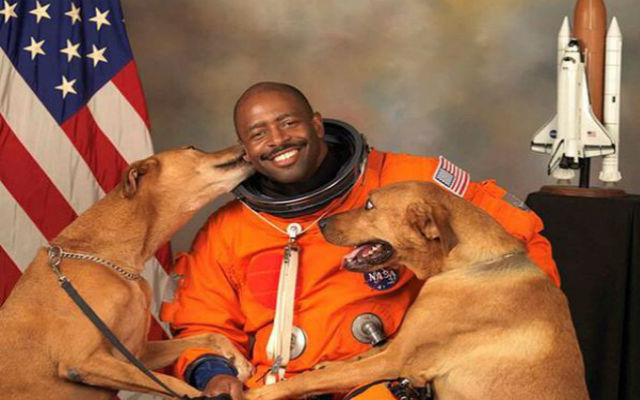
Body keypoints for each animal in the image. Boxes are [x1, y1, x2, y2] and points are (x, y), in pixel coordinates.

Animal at [0, 145, 255, 400]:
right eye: (192, 148)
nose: (242, 146)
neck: (112, 260)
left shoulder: (138, 355)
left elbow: (211, 335)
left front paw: (238, 360)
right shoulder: (82, 360)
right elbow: (174, 383)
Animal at [246, 182, 592, 400]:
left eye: (369, 204)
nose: (320, 223)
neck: (468, 263)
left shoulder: (397, 360)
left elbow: (314, 378)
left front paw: (264, 393)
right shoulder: (398, 344)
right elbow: (362, 354)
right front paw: (332, 364)